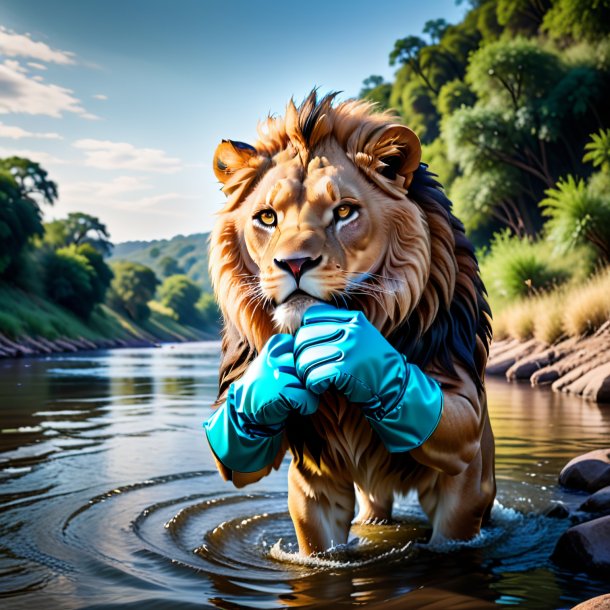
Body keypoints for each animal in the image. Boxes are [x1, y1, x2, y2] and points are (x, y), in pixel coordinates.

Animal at [207, 91, 492, 556]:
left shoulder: (464, 446)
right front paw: (270, 379)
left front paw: (354, 356)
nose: (294, 263)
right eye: (267, 218)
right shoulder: (312, 487)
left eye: (343, 212)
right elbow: (239, 458)